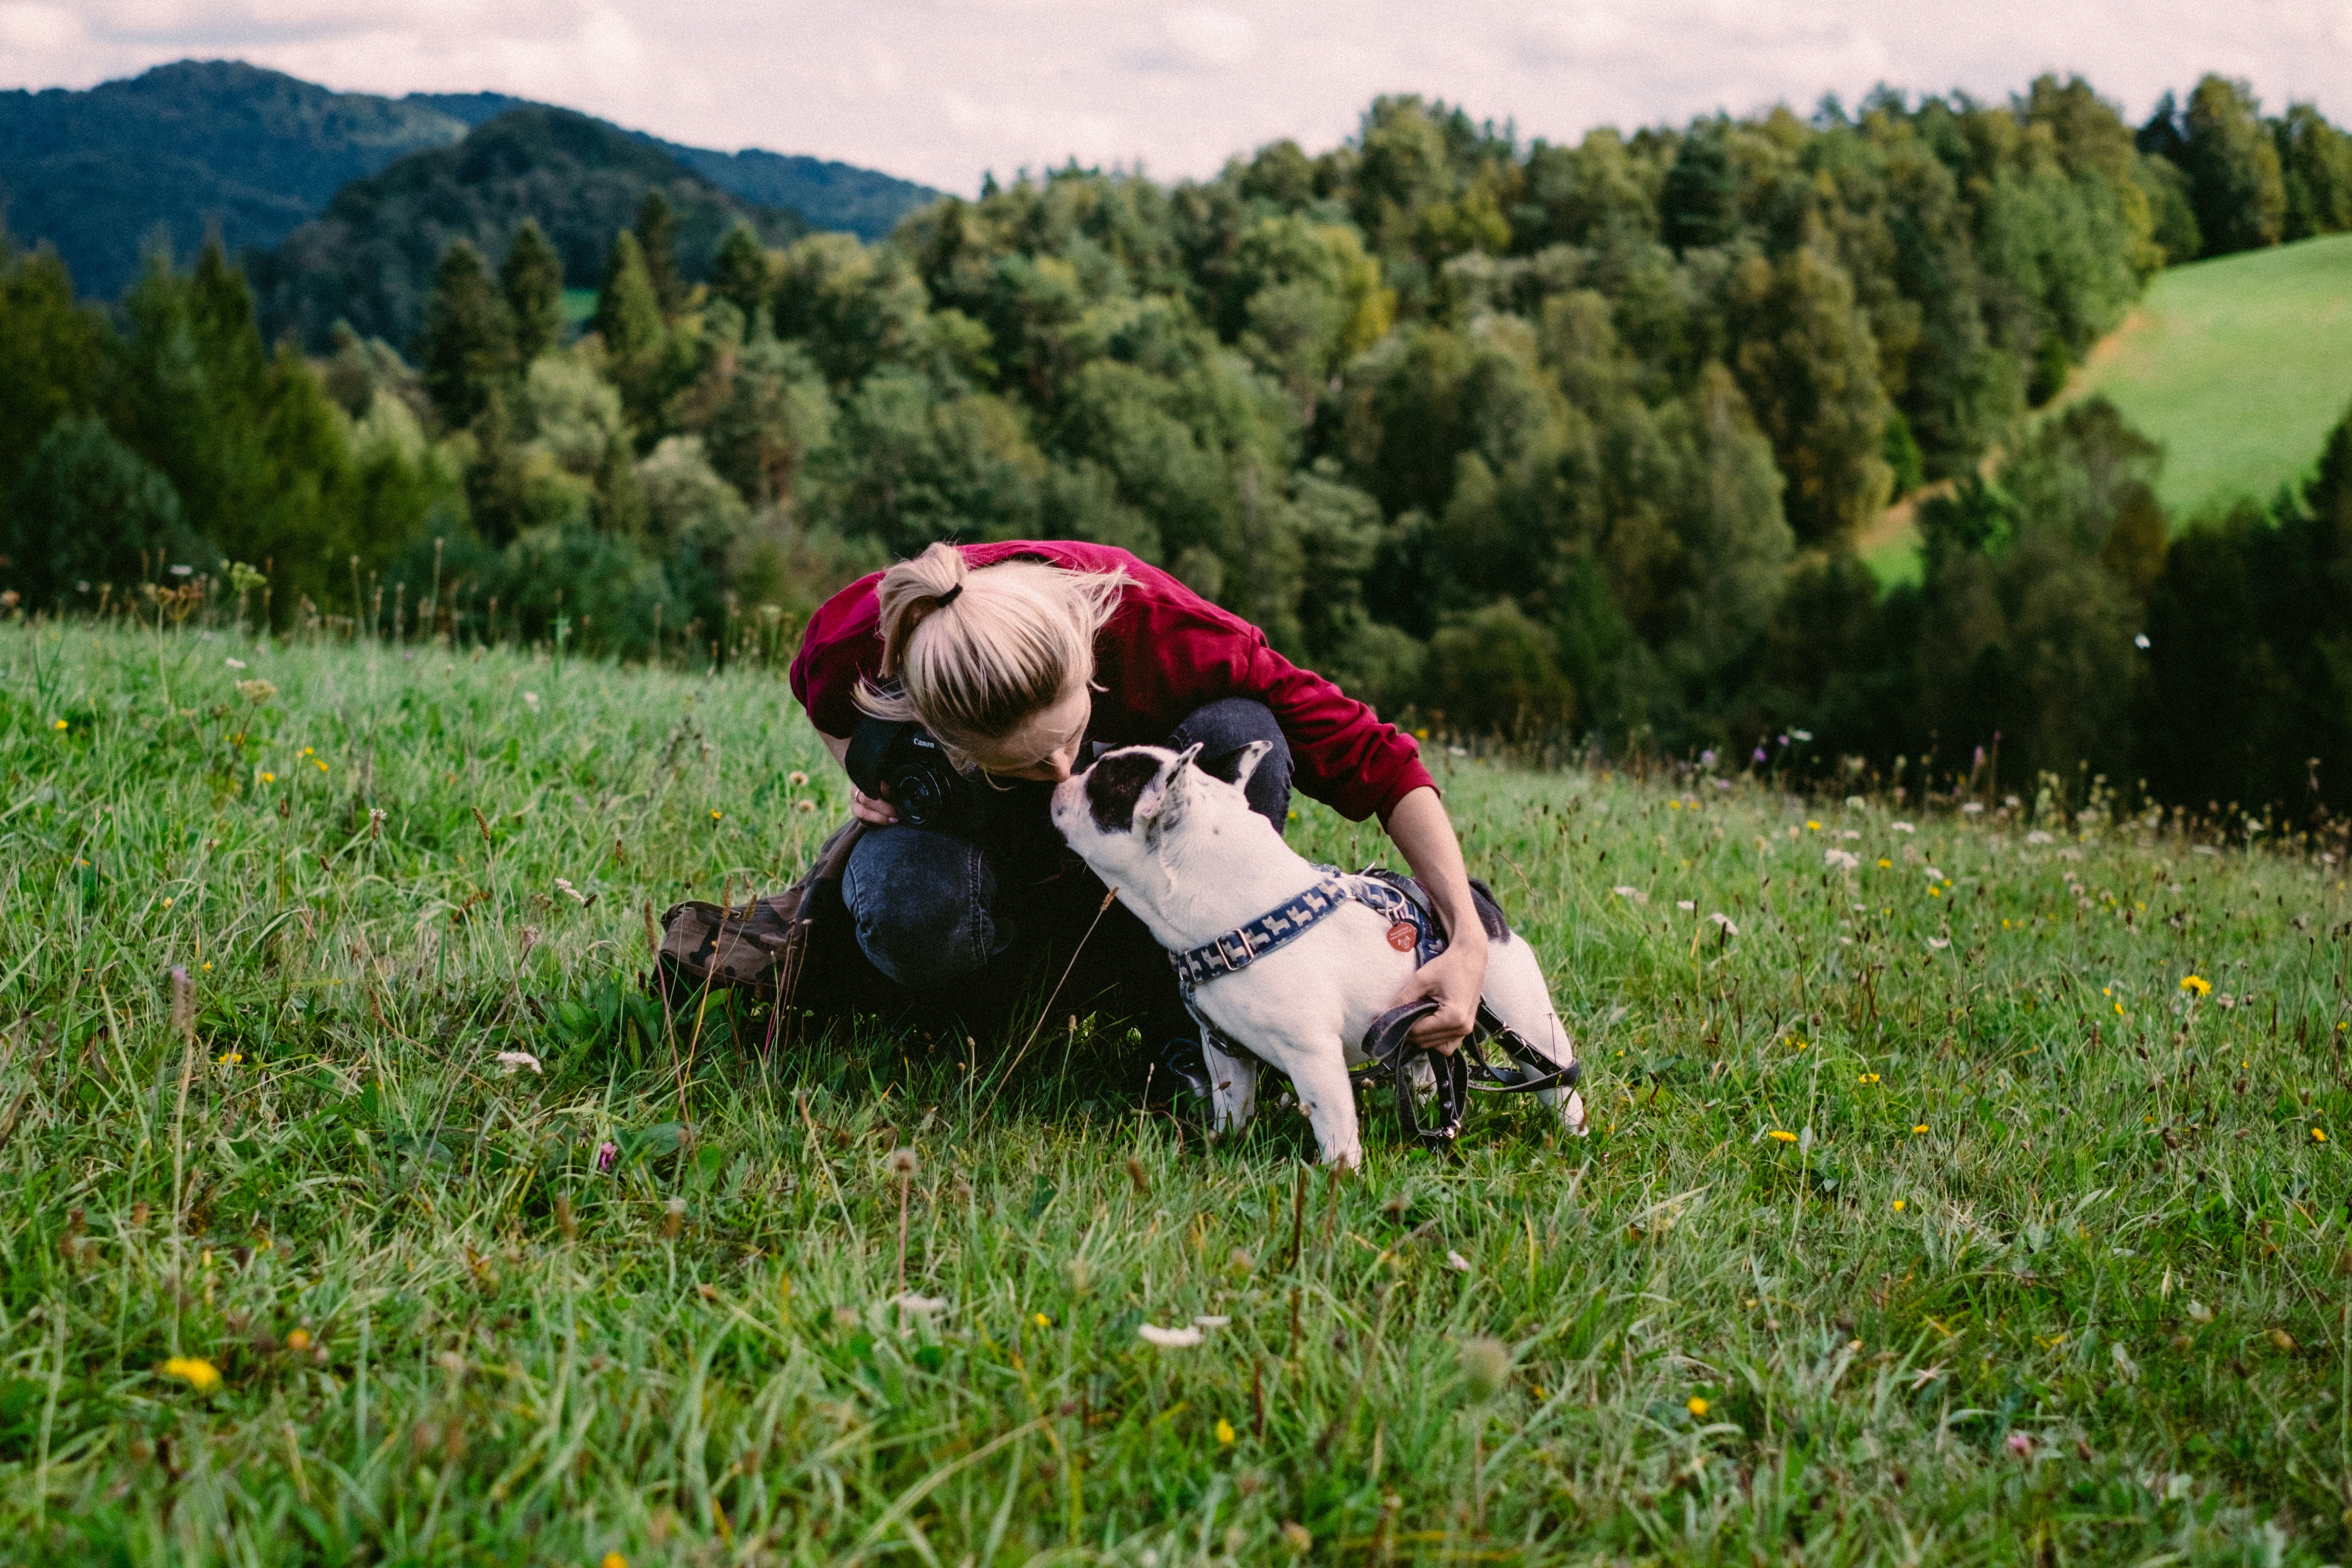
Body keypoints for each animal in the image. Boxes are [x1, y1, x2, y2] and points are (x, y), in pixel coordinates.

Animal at [1063, 747, 1580, 1165]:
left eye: (1099, 779)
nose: (1066, 776)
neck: (1235, 913)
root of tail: (1478, 901)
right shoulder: (1225, 1050)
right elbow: (1234, 1103)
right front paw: (1224, 1145)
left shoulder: (1312, 1055)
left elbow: (1334, 1125)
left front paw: (1339, 1177)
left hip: (1525, 1020)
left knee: (1556, 1078)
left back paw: (1574, 1134)